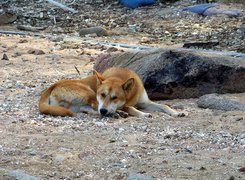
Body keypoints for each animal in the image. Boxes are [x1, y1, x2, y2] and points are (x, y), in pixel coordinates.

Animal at [38, 67, 184, 116]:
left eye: (114, 97)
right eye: (102, 95)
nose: (104, 110)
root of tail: (52, 86)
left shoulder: (145, 102)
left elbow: (164, 105)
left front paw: (176, 112)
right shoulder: (124, 105)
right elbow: (130, 108)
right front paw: (143, 114)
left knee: (90, 110)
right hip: (89, 92)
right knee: (95, 109)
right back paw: (116, 113)